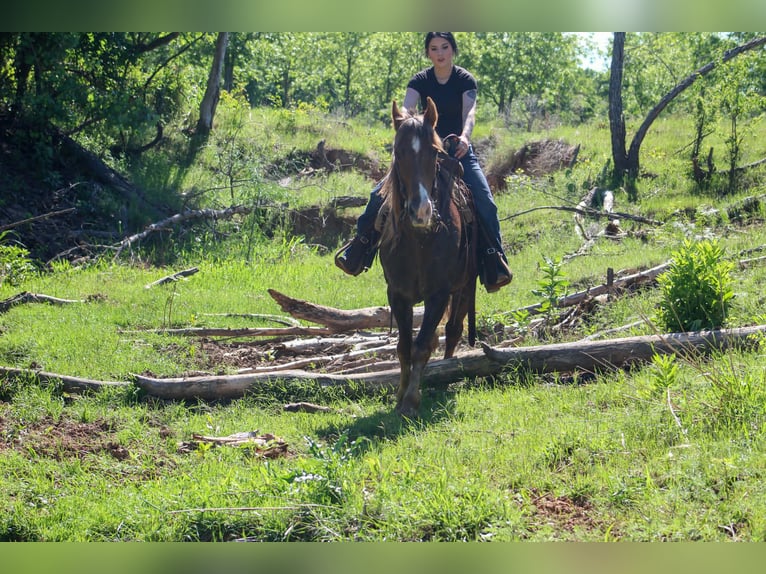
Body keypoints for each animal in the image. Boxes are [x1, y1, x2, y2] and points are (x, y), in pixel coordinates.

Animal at [377, 97, 478, 418]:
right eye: (398, 151)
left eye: (434, 152)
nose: (421, 211)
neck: (420, 239)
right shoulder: (398, 294)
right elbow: (404, 346)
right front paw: (400, 394)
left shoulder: (439, 294)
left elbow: (422, 345)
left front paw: (411, 401)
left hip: (465, 288)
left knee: (454, 330)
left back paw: (446, 373)